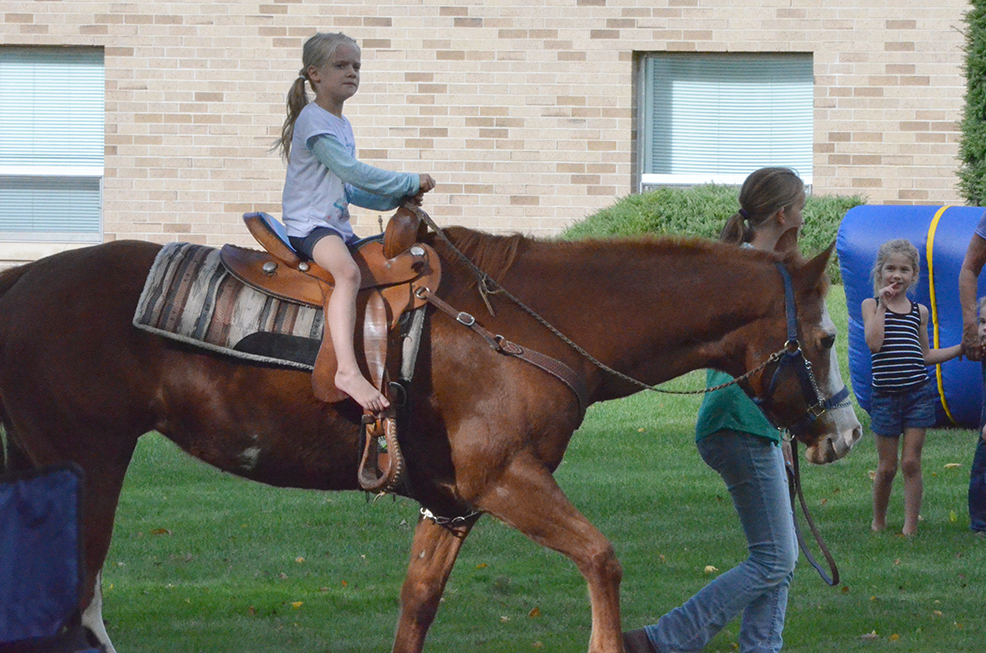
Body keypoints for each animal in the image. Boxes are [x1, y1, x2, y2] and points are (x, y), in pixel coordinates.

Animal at [0, 227, 860, 648]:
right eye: (824, 338)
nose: (847, 431)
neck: (532, 324)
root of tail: (22, 278)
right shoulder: (506, 480)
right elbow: (603, 560)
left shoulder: (450, 504)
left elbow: (417, 606)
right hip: (82, 468)